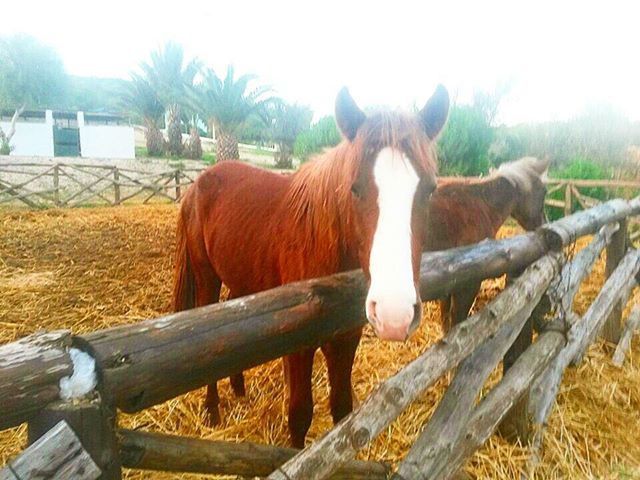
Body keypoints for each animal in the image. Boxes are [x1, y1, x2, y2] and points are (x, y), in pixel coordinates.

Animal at [172, 85, 448, 446]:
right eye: (355, 189)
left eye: (429, 190)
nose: (394, 315)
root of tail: (198, 183)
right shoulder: (299, 347)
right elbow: (300, 413)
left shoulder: (346, 339)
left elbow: (342, 408)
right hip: (207, 278)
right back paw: (213, 410)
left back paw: (239, 389)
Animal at [424, 156, 552, 332]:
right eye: (544, 191)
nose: (545, 223)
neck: (481, 205)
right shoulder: (467, 286)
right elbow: (457, 321)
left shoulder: (447, 287)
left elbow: (446, 319)